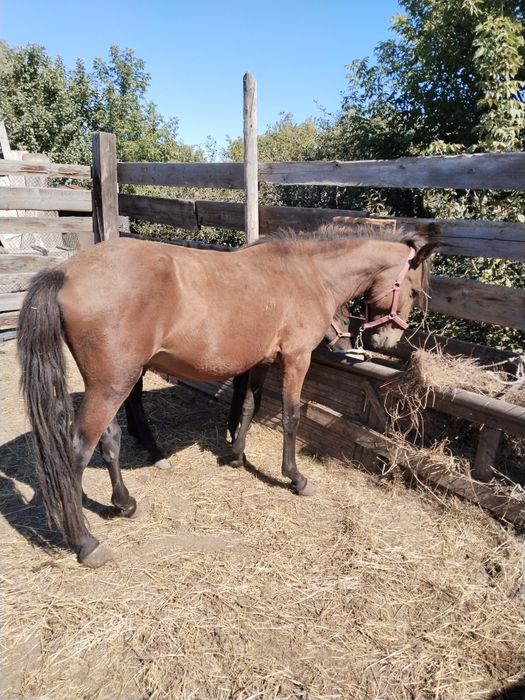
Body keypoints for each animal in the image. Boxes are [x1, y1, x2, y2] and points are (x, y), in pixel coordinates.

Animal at [17, 223, 441, 567]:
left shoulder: (262, 362)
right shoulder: (296, 359)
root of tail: (65, 272)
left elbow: (250, 406)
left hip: (110, 384)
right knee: (77, 453)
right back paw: (85, 541)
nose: (385, 341)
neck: (308, 273)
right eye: (414, 290)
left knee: (110, 441)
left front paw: (236, 456)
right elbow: (291, 417)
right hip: (111, 385)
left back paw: (125, 503)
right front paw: (295, 478)